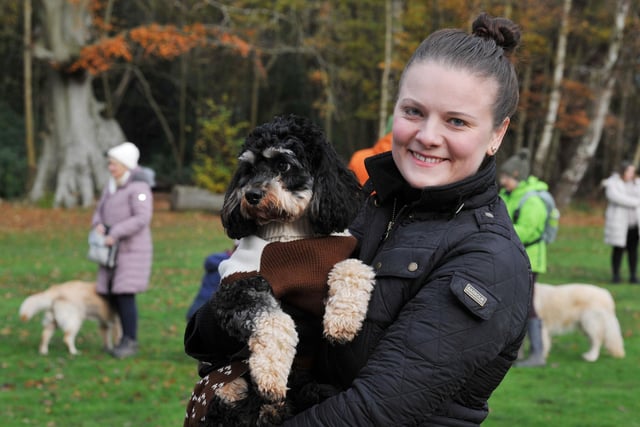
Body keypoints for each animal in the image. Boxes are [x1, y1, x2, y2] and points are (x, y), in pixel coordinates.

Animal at [185, 115, 376, 426]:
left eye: (283, 165)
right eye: (249, 169)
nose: (250, 195)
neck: (291, 234)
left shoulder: (342, 250)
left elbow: (353, 267)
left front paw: (343, 319)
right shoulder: (236, 286)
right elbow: (276, 320)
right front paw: (271, 374)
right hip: (225, 381)